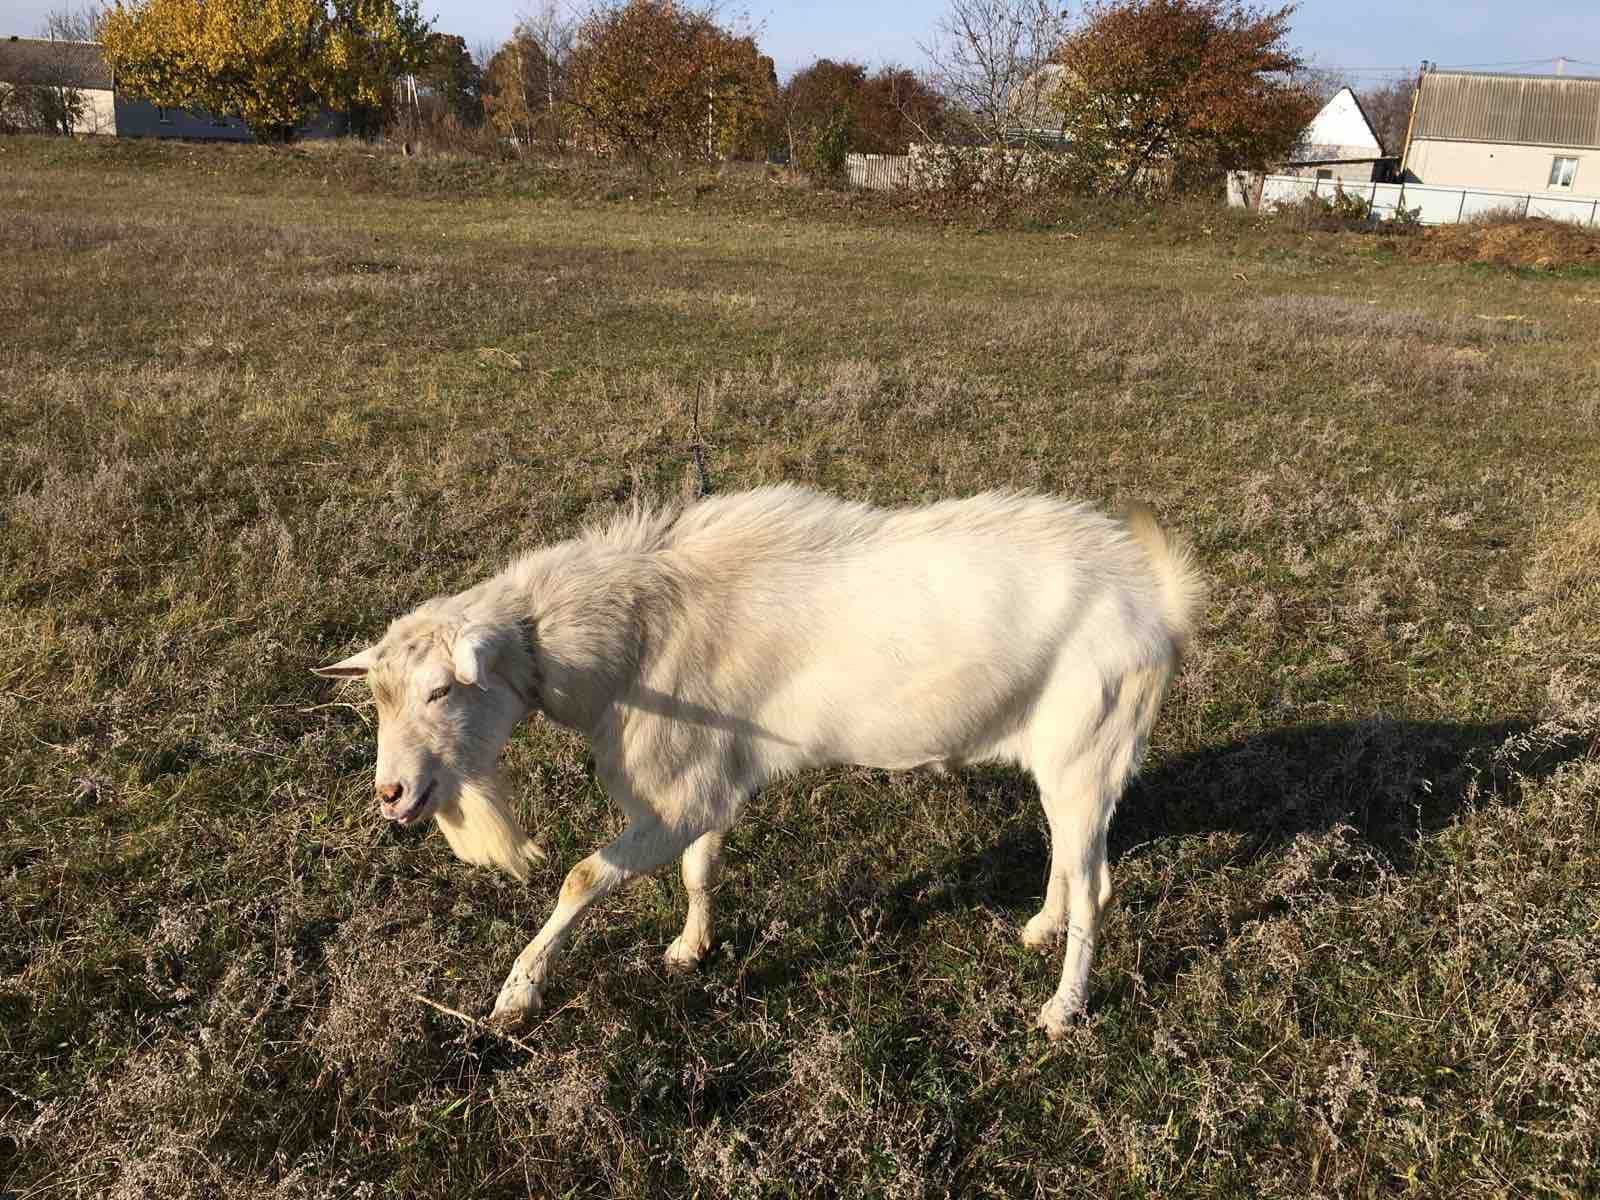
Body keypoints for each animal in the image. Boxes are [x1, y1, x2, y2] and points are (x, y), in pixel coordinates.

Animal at [315, 483, 1203, 1036]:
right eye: (380, 699)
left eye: (441, 691)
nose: (391, 794)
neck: (628, 631)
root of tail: (1157, 602)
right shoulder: (707, 780)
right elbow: (701, 867)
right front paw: (690, 948)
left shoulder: (672, 795)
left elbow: (581, 877)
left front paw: (515, 995)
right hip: (1064, 761)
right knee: (1072, 858)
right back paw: (1040, 927)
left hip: (1090, 743)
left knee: (1096, 885)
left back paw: (1062, 1010)